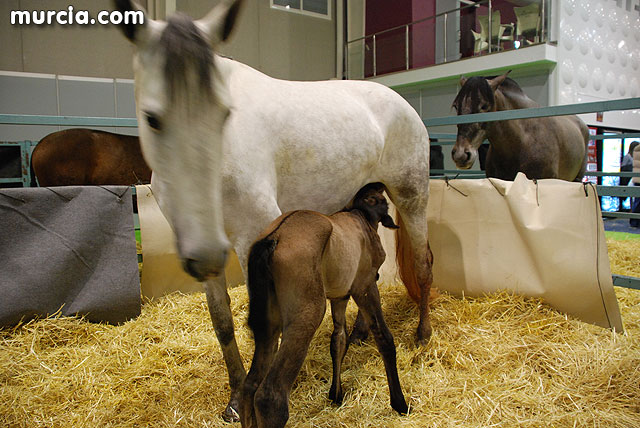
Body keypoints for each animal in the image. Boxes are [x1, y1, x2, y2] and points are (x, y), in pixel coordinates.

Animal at [240, 184, 410, 428]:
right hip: (307, 313)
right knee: (269, 396)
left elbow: (338, 340)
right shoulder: (365, 286)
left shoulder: (340, 297)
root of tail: (273, 238)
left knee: (250, 385)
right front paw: (399, 403)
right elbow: (383, 337)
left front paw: (335, 395)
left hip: (268, 324)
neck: (361, 217)